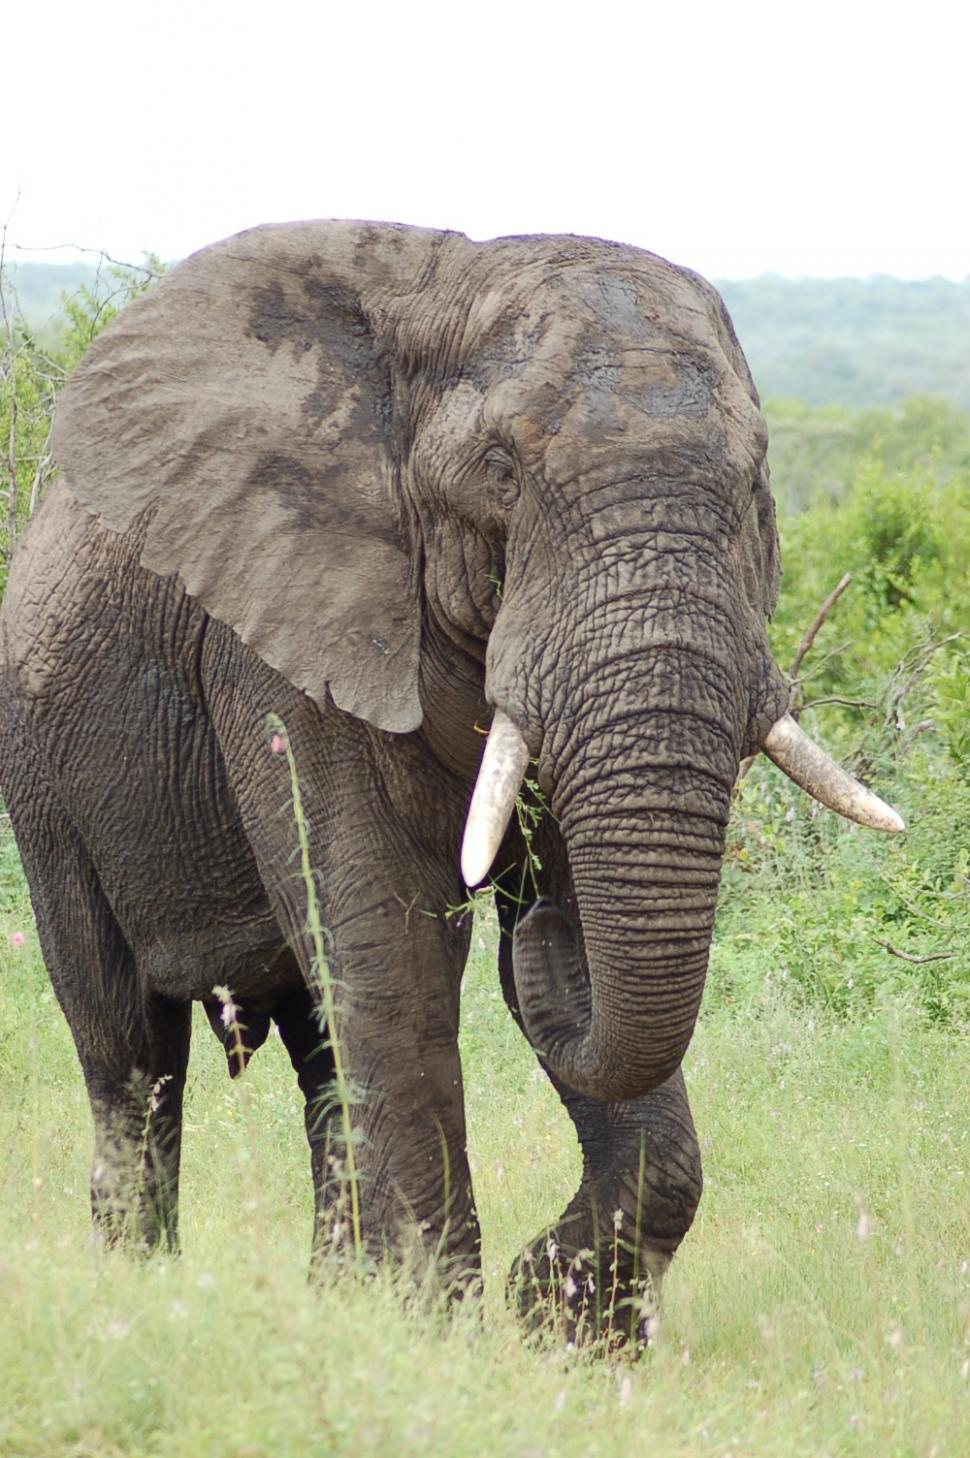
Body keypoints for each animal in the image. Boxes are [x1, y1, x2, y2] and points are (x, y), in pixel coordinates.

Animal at [0, 220, 902, 1343]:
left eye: (755, 483)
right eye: (500, 468)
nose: (537, 916)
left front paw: (556, 1328)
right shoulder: (288, 636)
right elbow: (390, 936)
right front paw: (439, 1336)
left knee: (320, 1047)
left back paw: (333, 1299)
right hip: (44, 781)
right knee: (128, 1044)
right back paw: (139, 1301)